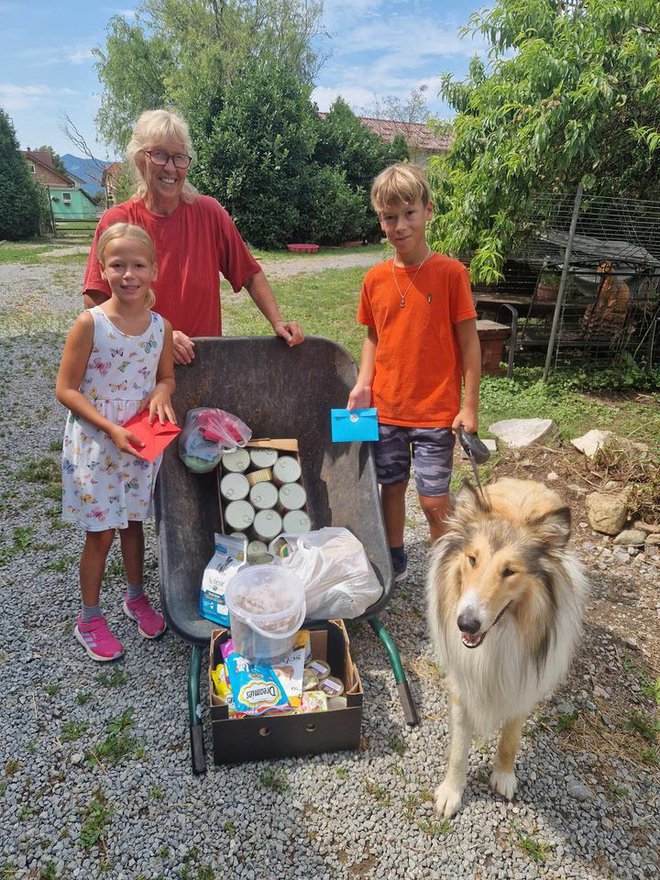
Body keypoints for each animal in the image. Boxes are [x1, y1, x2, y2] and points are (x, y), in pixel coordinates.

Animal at [428, 478, 588, 816]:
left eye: (509, 571)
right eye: (472, 559)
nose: (466, 624)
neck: (497, 638)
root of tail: (525, 482)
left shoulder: (524, 683)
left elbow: (510, 739)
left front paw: (503, 776)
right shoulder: (462, 685)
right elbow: (459, 749)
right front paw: (451, 793)